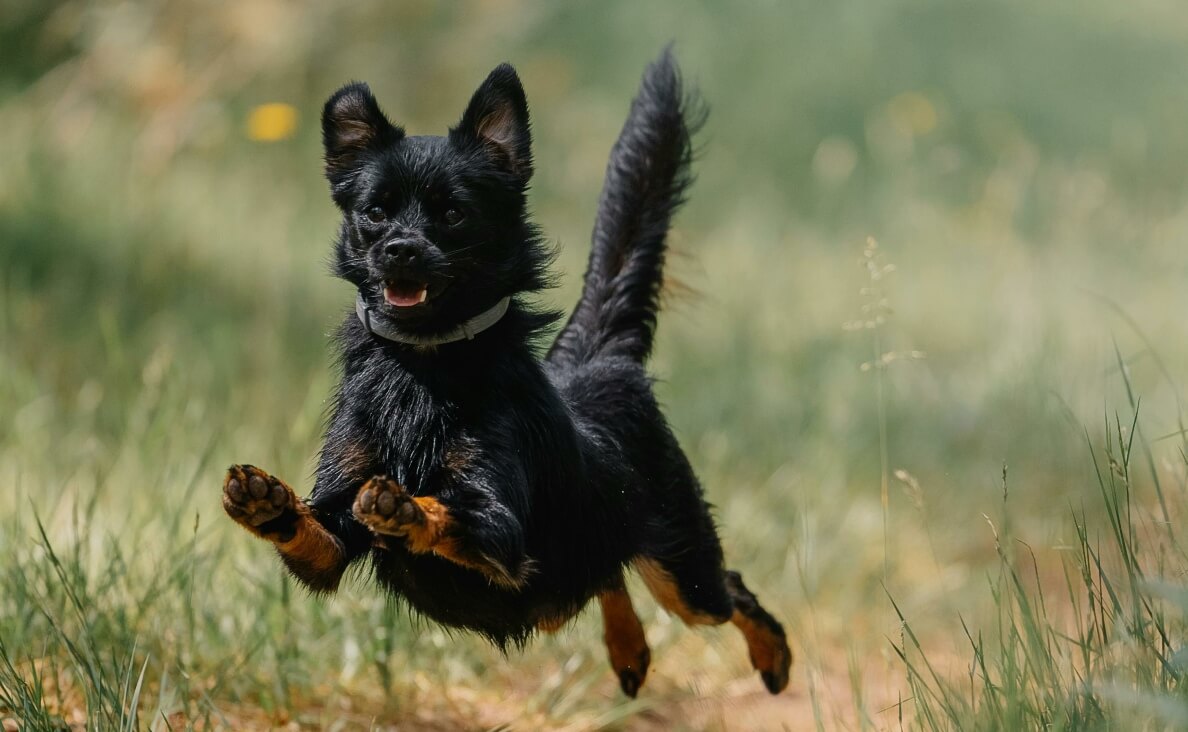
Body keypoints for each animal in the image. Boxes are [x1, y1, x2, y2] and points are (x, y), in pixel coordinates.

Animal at [224, 47, 788, 698]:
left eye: (453, 214)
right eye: (375, 213)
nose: (400, 248)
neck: (423, 364)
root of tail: (598, 363)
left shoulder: (500, 530)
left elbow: (453, 511)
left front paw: (405, 507)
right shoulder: (334, 539)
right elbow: (314, 526)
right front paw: (268, 501)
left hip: (684, 569)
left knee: (730, 591)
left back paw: (773, 655)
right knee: (603, 577)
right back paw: (629, 650)